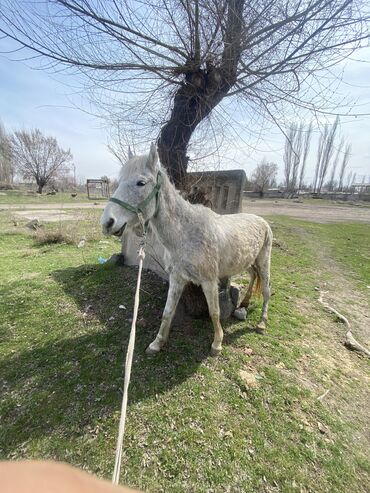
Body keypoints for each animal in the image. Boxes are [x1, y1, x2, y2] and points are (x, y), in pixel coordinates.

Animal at [101, 144, 272, 356]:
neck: (186, 233)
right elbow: (168, 312)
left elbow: (214, 312)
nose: (107, 223)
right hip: (248, 261)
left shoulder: (209, 281)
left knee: (266, 290)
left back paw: (262, 324)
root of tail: (262, 221)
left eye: (141, 183)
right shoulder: (177, 277)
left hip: (264, 261)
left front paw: (217, 344)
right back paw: (244, 305)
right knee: (253, 277)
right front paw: (157, 343)